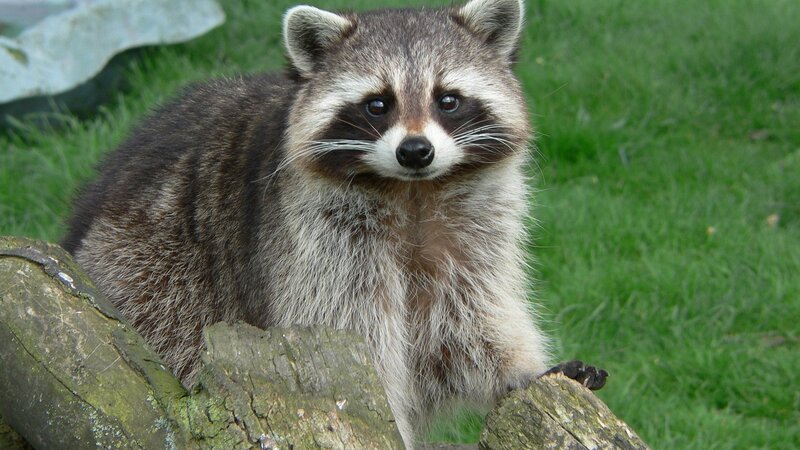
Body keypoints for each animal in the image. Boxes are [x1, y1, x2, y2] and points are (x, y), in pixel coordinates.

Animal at [62, 0, 600, 446]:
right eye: (378, 104)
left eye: (447, 99)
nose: (416, 151)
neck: (413, 192)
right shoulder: (318, 241)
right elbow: (351, 333)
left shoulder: (474, 232)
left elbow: (468, 323)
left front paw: (521, 371)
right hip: (151, 271)